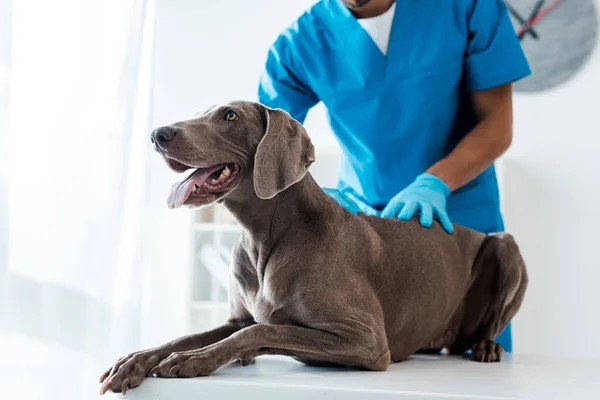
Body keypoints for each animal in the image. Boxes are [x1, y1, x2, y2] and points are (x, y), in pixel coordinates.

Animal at [97, 101, 524, 396]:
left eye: (230, 116)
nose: (158, 134)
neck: (265, 238)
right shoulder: (236, 318)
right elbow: (189, 335)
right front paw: (135, 360)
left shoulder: (367, 339)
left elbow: (261, 330)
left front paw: (194, 359)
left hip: (505, 247)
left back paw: (486, 346)